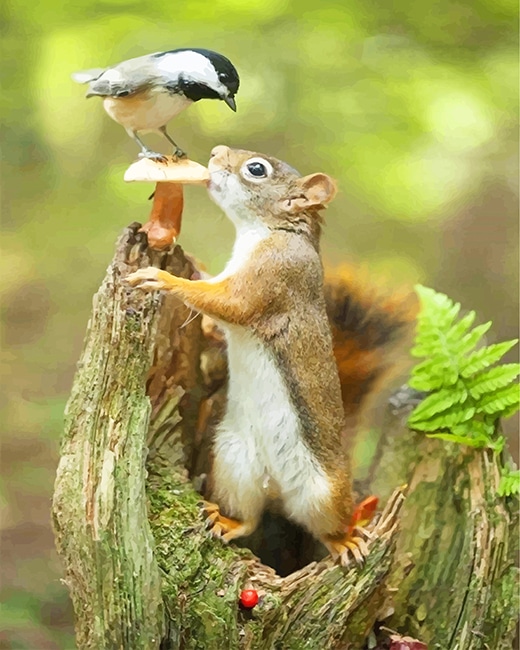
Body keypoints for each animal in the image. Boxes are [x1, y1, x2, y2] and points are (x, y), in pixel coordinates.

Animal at [127, 144, 417, 565]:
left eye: (256, 170)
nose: (215, 152)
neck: (267, 231)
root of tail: (277, 488)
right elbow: (215, 310)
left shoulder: (273, 277)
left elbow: (230, 305)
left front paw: (163, 278)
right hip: (234, 465)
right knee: (249, 518)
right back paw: (227, 521)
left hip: (324, 494)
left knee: (327, 528)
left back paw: (345, 540)